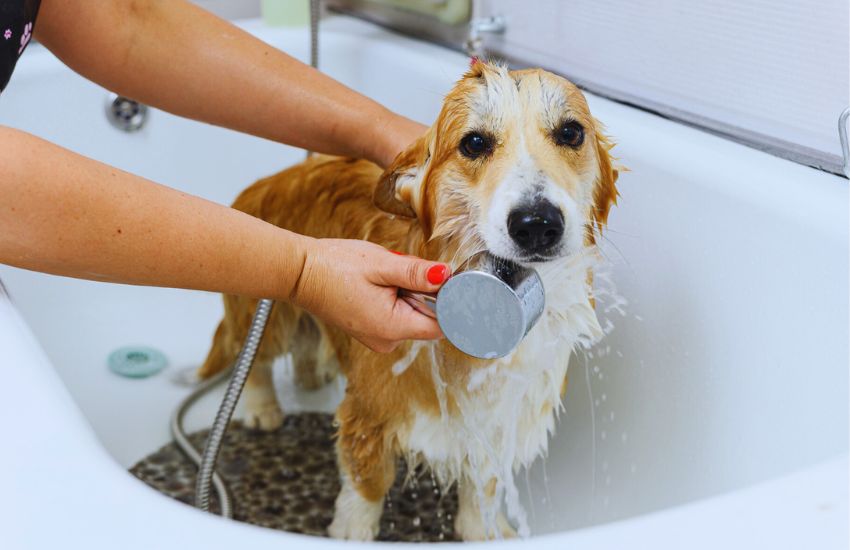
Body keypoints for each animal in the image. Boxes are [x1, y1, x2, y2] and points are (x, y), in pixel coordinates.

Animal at [198, 61, 616, 544]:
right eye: (474, 143)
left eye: (571, 132)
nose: (536, 224)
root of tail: (270, 181)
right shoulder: (371, 409)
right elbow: (367, 483)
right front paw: (352, 531)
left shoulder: (497, 420)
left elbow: (484, 485)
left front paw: (483, 530)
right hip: (271, 312)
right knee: (256, 360)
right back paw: (263, 408)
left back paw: (312, 375)